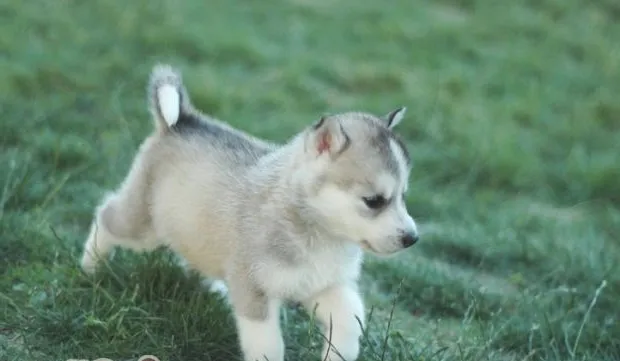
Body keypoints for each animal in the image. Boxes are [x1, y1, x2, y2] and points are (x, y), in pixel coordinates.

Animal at [80, 64, 418, 360]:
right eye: (374, 201)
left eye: (403, 196)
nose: (412, 238)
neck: (317, 231)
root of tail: (183, 121)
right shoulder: (255, 291)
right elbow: (268, 345)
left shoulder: (321, 284)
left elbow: (350, 318)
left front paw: (340, 353)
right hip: (143, 226)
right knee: (106, 216)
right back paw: (91, 266)